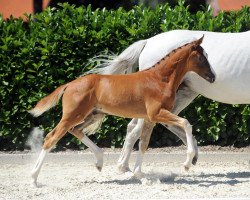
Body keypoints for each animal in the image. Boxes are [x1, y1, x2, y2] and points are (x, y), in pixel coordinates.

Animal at [28, 36, 214, 186]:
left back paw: (100, 161)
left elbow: (143, 144)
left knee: (76, 130)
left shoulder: (150, 118)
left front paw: (142, 176)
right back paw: (34, 178)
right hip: (72, 115)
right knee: (51, 138)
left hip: (92, 114)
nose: (213, 77)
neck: (160, 79)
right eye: (202, 57)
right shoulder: (156, 114)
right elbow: (186, 123)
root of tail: (69, 85)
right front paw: (187, 163)